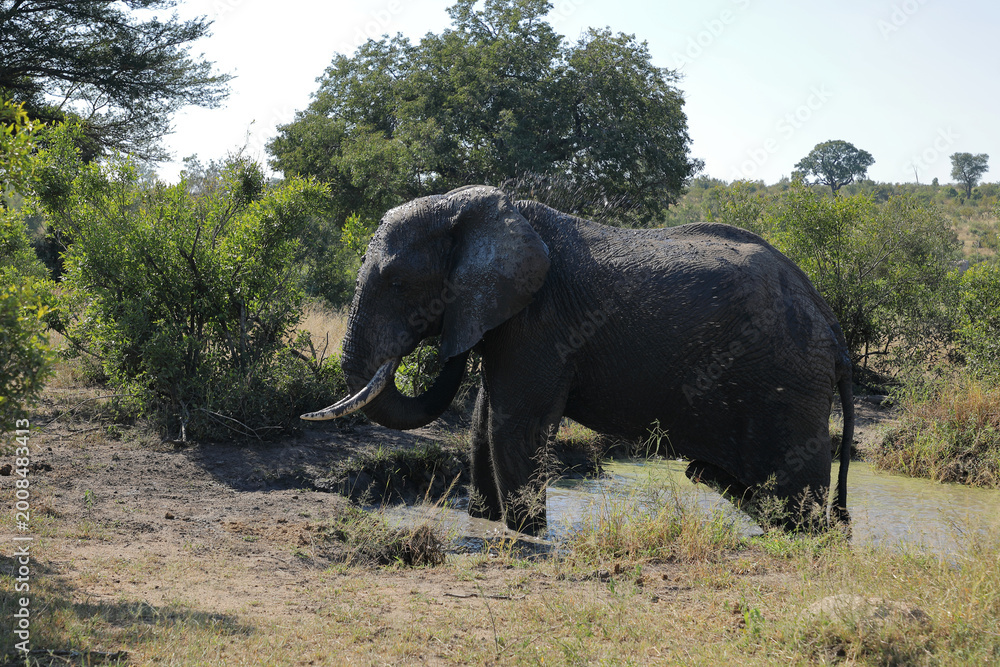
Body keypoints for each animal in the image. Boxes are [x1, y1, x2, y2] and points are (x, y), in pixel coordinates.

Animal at [303, 185, 854, 533]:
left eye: (396, 281)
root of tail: (833, 327)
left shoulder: (542, 321)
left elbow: (515, 424)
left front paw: (526, 533)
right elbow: (484, 420)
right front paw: (483, 522)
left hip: (789, 384)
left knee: (792, 490)